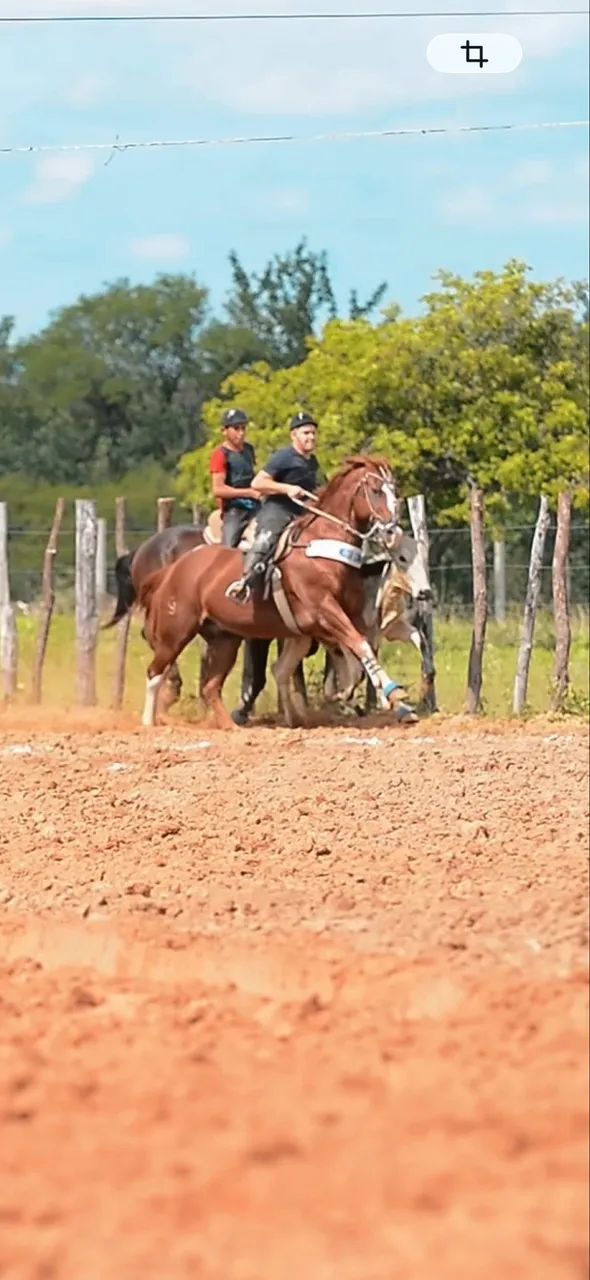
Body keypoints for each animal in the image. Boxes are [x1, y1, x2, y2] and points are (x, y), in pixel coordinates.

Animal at [138, 456, 418, 730]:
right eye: (376, 490)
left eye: (395, 491)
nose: (393, 533)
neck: (320, 547)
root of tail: (172, 569)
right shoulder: (325, 611)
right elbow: (359, 646)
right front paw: (393, 693)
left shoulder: (344, 617)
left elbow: (357, 655)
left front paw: (370, 699)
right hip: (176, 631)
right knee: (155, 673)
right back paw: (150, 722)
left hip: (224, 640)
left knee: (210, 686)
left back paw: (231, 726)